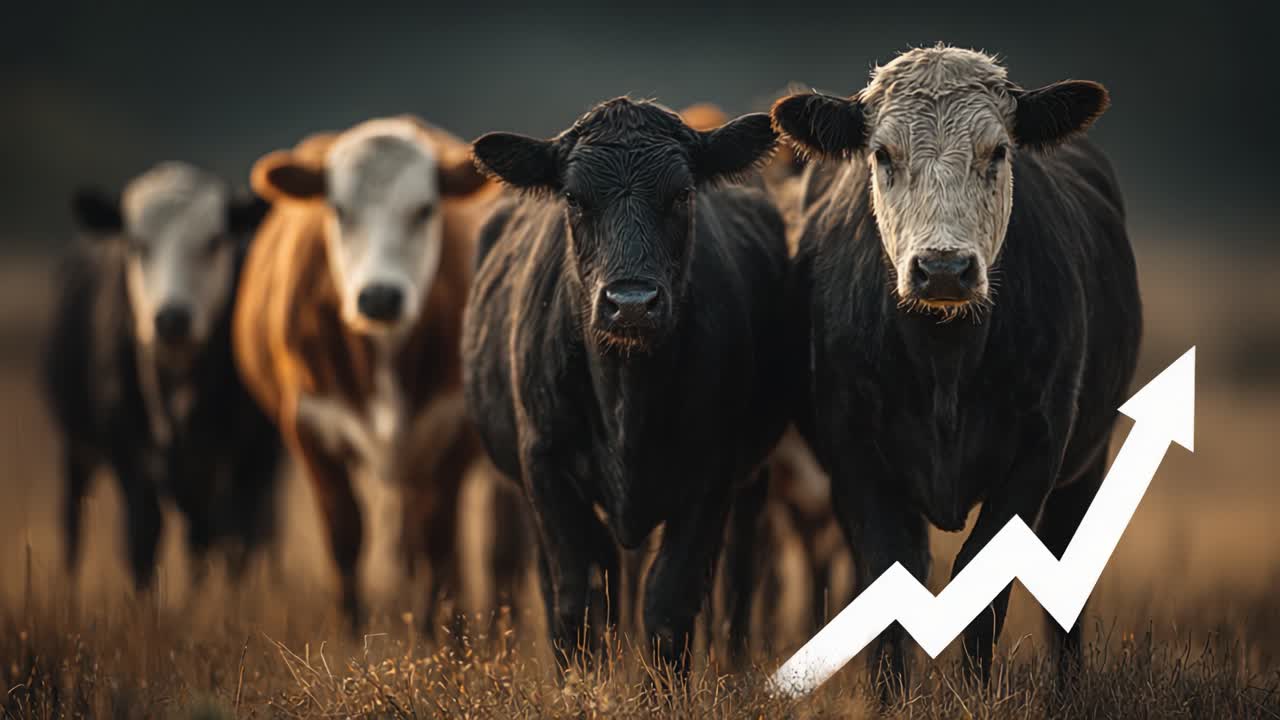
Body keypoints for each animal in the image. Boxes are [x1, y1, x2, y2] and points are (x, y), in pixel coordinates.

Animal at [44, 162, 281, 591]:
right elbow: (143, 538)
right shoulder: (129, 449)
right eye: (137, 244)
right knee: (73, 520)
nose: (172, 318)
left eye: (214, 241)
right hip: (76, 444)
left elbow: (236, 543)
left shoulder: (254, 454)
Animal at [233, 116, 521, 630]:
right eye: (339, 210)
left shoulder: (453, 430)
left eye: (425, 209)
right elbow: (345, 531)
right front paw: (351, 628)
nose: (380, 296)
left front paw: (439, 632)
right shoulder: (309, 427)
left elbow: (437, 537)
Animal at [462, 97, 790, 674]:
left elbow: (670, 603)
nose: (631, 303)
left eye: (682, 194)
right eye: (574, 198)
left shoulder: (713, 473)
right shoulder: (544, 466)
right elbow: (578, 595)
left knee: (737, 582)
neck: (627, 400)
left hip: (752, 485)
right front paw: (582, 685)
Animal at [771, 45, 1142, 691]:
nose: (943, 268)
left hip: (1087, 464)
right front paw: (887, 696)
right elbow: (888, 573)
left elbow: (983, 577)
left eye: (997, 151)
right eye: (882, 154)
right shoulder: (855, 456)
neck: (944, 360)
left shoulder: (1039, 452)